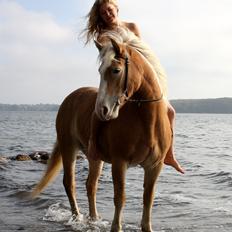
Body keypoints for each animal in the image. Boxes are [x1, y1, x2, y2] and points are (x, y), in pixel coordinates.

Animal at [30, 39, 172, 231]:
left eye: (116, 70)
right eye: (100, 71)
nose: (102, 110)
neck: (147, 122)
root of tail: (69, 98)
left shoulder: (154, 167)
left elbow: (148, 199)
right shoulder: (119, 163)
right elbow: (120, 198)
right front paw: (115, 227)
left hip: (94, 158)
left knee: (91, 185)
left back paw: (94, 219)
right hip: (69, 148)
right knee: (70, 183)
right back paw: (77, 218)